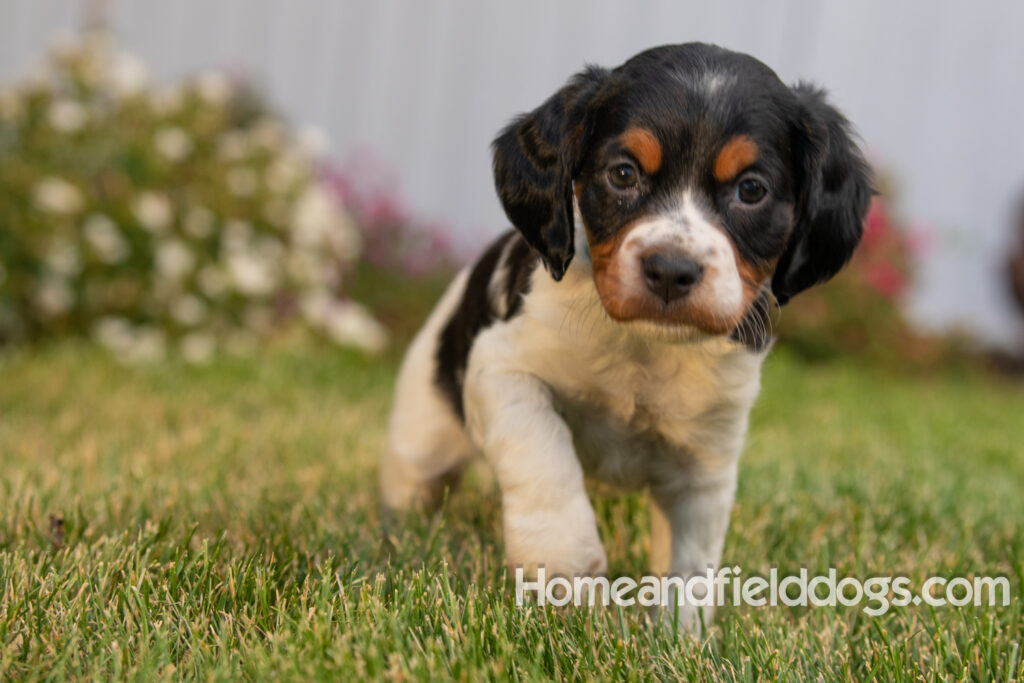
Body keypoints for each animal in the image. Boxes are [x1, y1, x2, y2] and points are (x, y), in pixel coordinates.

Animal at [380, 42, 868, 630]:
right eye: (622, 173)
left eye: (751, 190)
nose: (671, 270)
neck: (645, 346)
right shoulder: (503, 368)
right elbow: (543, 454)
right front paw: (562, 565)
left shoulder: (707, 458)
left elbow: (692, 561)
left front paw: (681, 634)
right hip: (423, 431)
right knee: (412, 478)